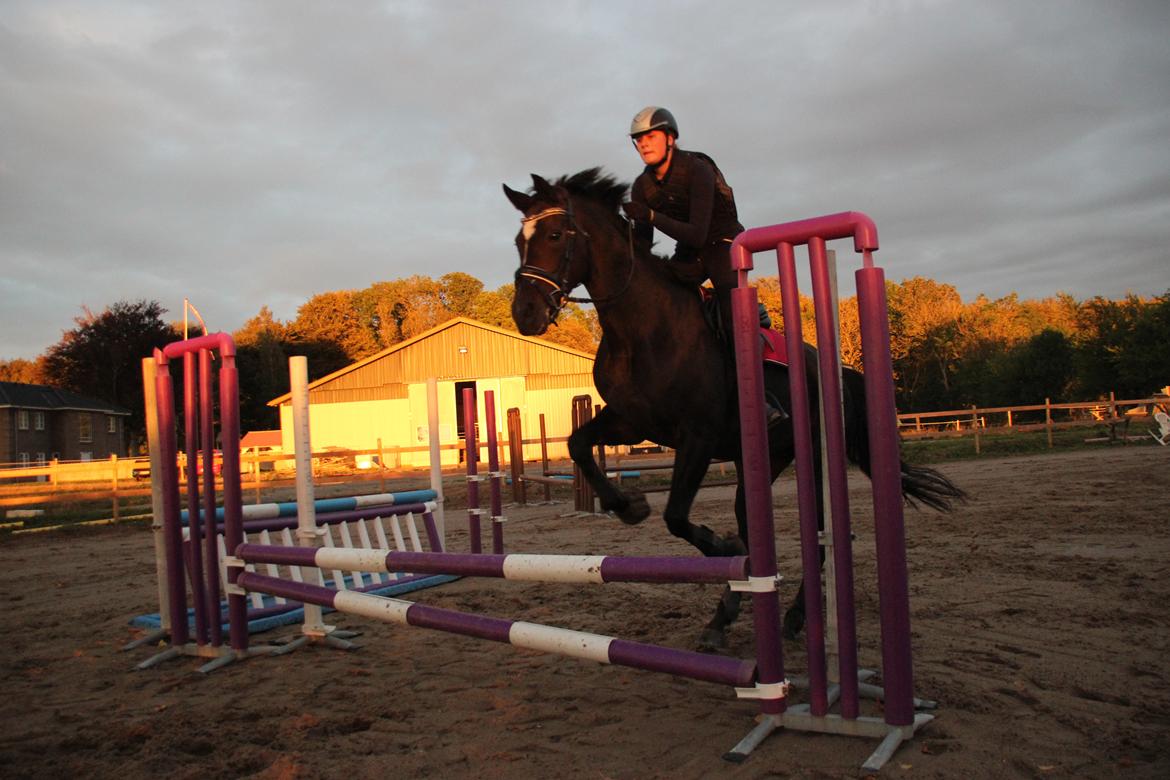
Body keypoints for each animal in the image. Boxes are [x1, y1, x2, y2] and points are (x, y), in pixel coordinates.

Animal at [503, 169, 959, 645]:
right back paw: (727, 615)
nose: (525, 313)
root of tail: (839, 372)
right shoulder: (632, 422)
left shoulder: (697, 438)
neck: (643, 328)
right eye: (519, 240)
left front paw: (722, 547)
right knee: (760, 524)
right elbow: (578, 445)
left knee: (822, 533)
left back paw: (793, 615)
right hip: (759, 463)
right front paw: (630, 507)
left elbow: (677, 516)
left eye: (555, 234)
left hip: (814, 460)